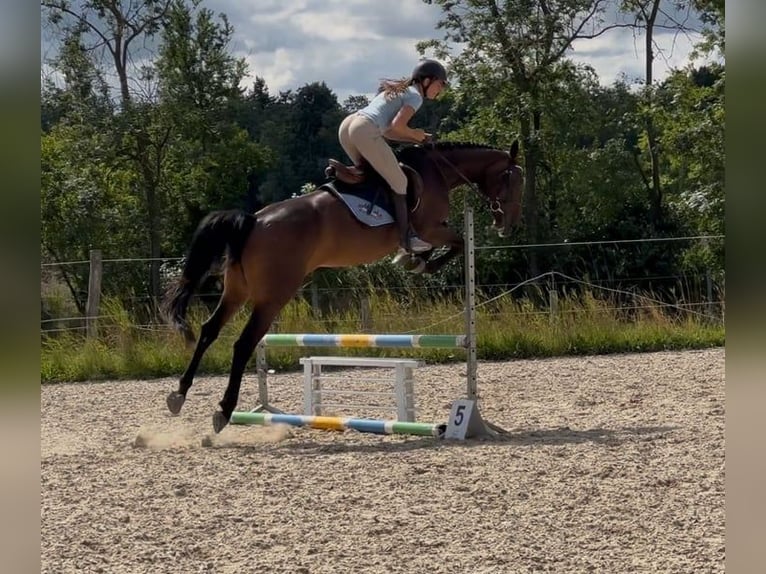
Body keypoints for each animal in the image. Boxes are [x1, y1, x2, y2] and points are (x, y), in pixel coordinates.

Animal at [163, 141, 524, 433]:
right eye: (514, 181)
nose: (507, 226)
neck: (437, 170)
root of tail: (254, 221)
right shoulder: (431, 228)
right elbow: (456, 243)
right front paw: (415, 261)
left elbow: (451, 245)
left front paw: (412, 260)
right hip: (273, 296)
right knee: (243, 343)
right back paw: (224, 410)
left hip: (237, 291)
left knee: (209, 330)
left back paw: (179, 395)